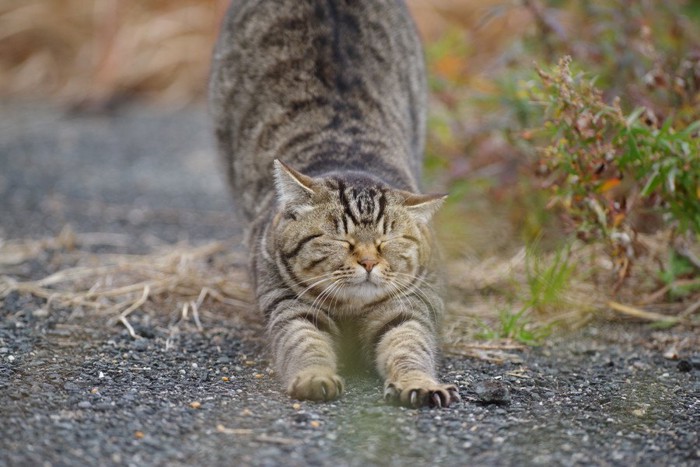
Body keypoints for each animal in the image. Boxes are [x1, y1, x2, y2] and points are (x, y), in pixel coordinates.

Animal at [208, 0, 460, 410]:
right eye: (341, 240)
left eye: (386, 242)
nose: (369, 263)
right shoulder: (288, 304)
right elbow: (304, 342)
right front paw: (315, 377)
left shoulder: (411, 307)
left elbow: (409, 345)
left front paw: (419, 382)